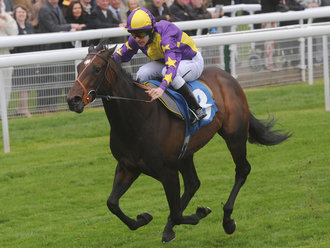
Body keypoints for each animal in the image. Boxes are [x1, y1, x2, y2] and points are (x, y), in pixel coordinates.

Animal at [66, 40, 288, 242]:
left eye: (96, 69)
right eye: (78, 68)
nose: (72, 100)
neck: (139, 116)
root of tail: (227, 76)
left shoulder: (167, 171)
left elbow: (176, 212)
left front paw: (199, 213)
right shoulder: (128, 166)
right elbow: (112, 203)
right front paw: (143, 218)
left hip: (235, 135)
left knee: (242, 170)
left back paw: (227, 220)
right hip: (186, 152)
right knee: (193, 183)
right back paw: (169, 229)